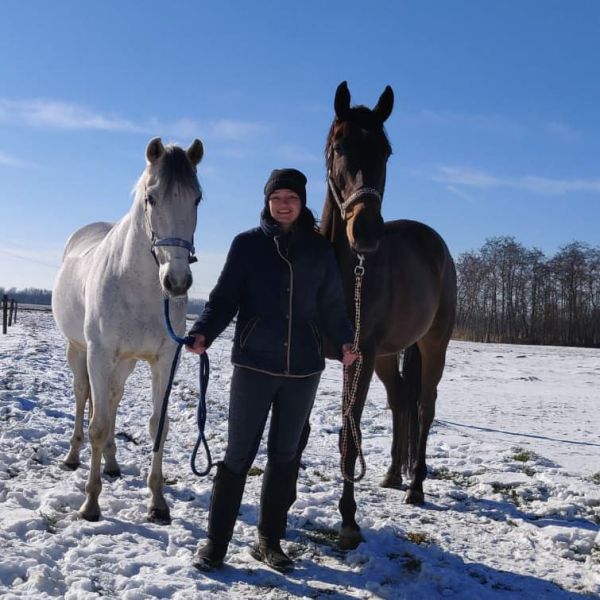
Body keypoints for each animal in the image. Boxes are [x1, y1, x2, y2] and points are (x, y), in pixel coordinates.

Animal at [52, 137, 202, 520]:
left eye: (197, 198)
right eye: (151, 198)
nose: (177, 282)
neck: (138, 285)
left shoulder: (165, 360)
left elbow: (158, 425)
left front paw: (158, 502)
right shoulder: (99, 354)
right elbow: (97, 424)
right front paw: (90, 504)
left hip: (125, 362)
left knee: (112, 398)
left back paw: (112, 463)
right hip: (79, 351)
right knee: (83, 398)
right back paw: (72, 457)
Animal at [324, 82, 454, 552]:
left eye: (386, 151)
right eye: (340, 145)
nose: (366, 231)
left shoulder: (358, 356)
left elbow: (350, 435)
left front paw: (348, 521)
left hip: (432, 346)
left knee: (423, 406)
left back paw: (415, 486)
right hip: (385, 356)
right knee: (400, 400)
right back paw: (394, 474)